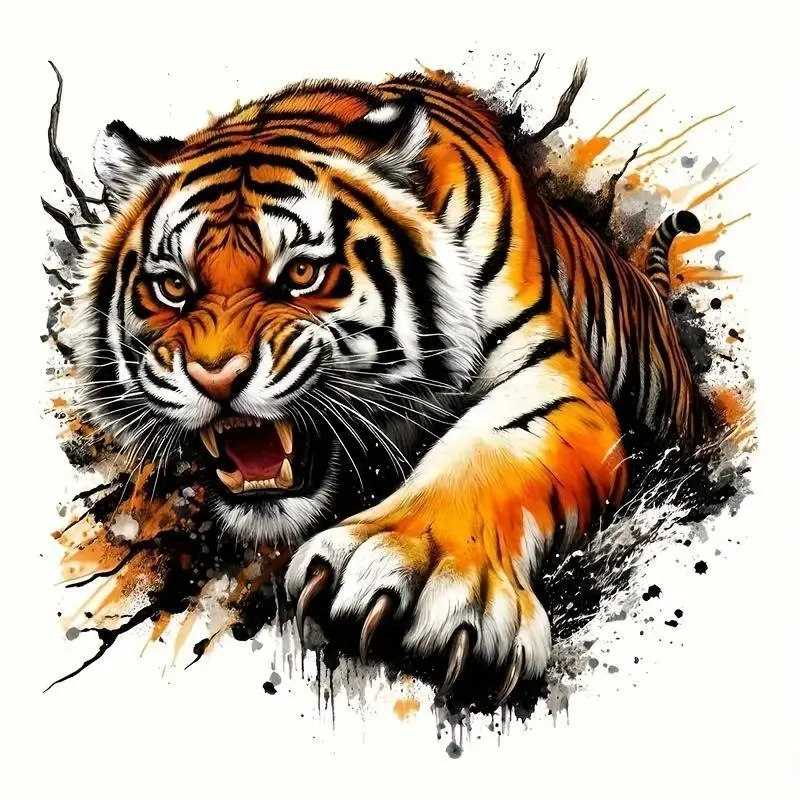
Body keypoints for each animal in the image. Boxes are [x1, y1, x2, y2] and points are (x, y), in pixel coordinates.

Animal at [74, 68, 711, 704]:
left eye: (302, 274)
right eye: (173, 286)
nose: (216, 375)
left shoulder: (551, 374)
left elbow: (488, 450)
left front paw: (420, 568)